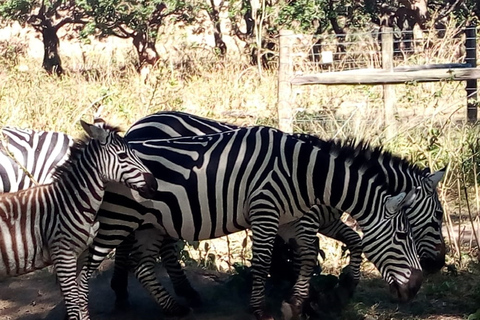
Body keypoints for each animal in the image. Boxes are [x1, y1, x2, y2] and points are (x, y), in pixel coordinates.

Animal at [0, 120, 158, 320]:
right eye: (122, 155)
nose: (154, 185)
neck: (73, 201)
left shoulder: (81, 254)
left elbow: (82, 299)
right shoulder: (63, 255)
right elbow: (74, 304)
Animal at [78, 122, 424, 320]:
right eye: (403, 236)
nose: (418, 286)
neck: (305, 173)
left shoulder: (290, 220)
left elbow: (308, 256)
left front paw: (296, 303)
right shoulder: (265, 211)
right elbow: (262, 262)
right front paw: (260, 309)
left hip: (149, 223)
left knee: (143, 264)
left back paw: (174, 307)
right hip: (120, 218)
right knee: (89, 264)